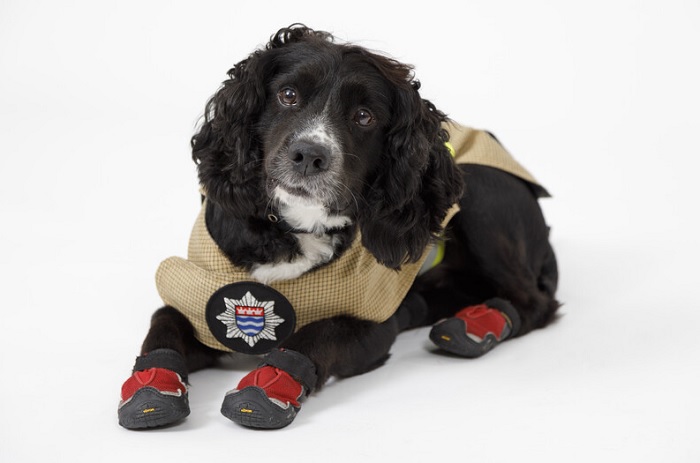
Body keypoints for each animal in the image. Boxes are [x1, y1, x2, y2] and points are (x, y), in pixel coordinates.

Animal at [117, 24, 560, 432]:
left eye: (364, 117)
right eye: (288, 95)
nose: (309, 155)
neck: (296, 227)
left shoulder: (372, 324)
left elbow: (318, 333)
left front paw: (269, 385)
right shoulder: (198, 291)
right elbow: (163, 324)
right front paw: (150, 390)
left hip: (481, 191)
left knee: (533, 301)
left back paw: (477, 324)